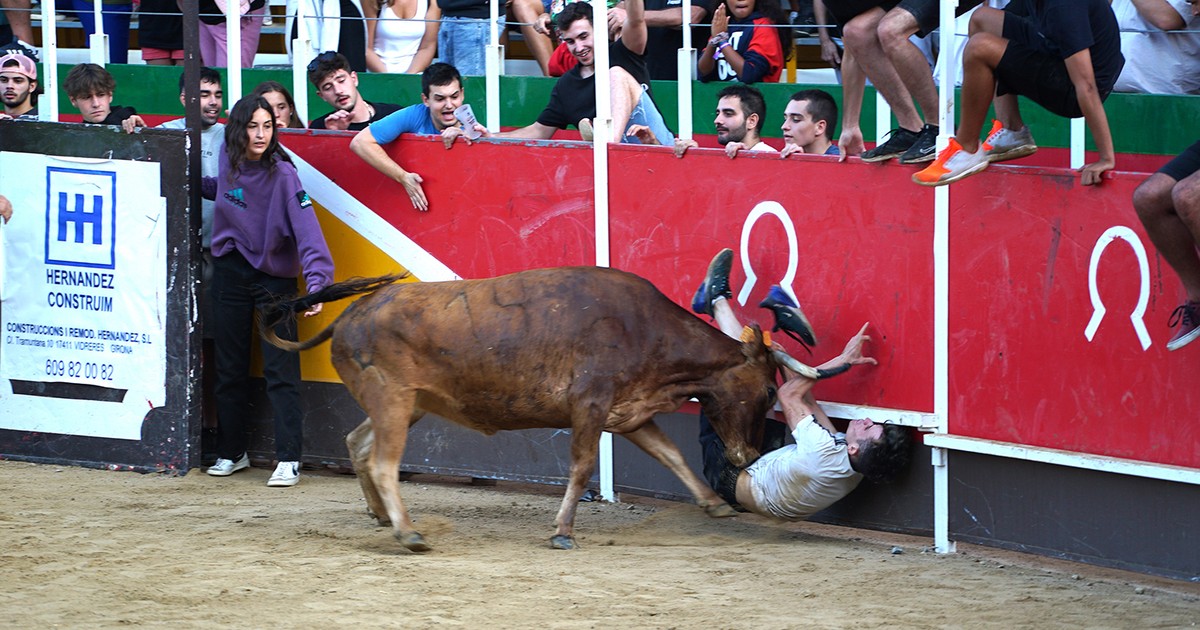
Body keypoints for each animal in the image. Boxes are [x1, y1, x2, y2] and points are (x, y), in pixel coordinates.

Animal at [262, 266, 787, 549]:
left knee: (358, 442)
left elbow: (671, 455)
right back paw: (407, 532)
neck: (646, 330)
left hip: (408, 404)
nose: (749, 456)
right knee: (383, 462)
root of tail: (351, 315)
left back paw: (380, 516)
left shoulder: (628, 414)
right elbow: (581, 466)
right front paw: (562, 531)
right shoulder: (590, 406)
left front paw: (714, 504)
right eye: (768, 391)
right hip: (393, 400)